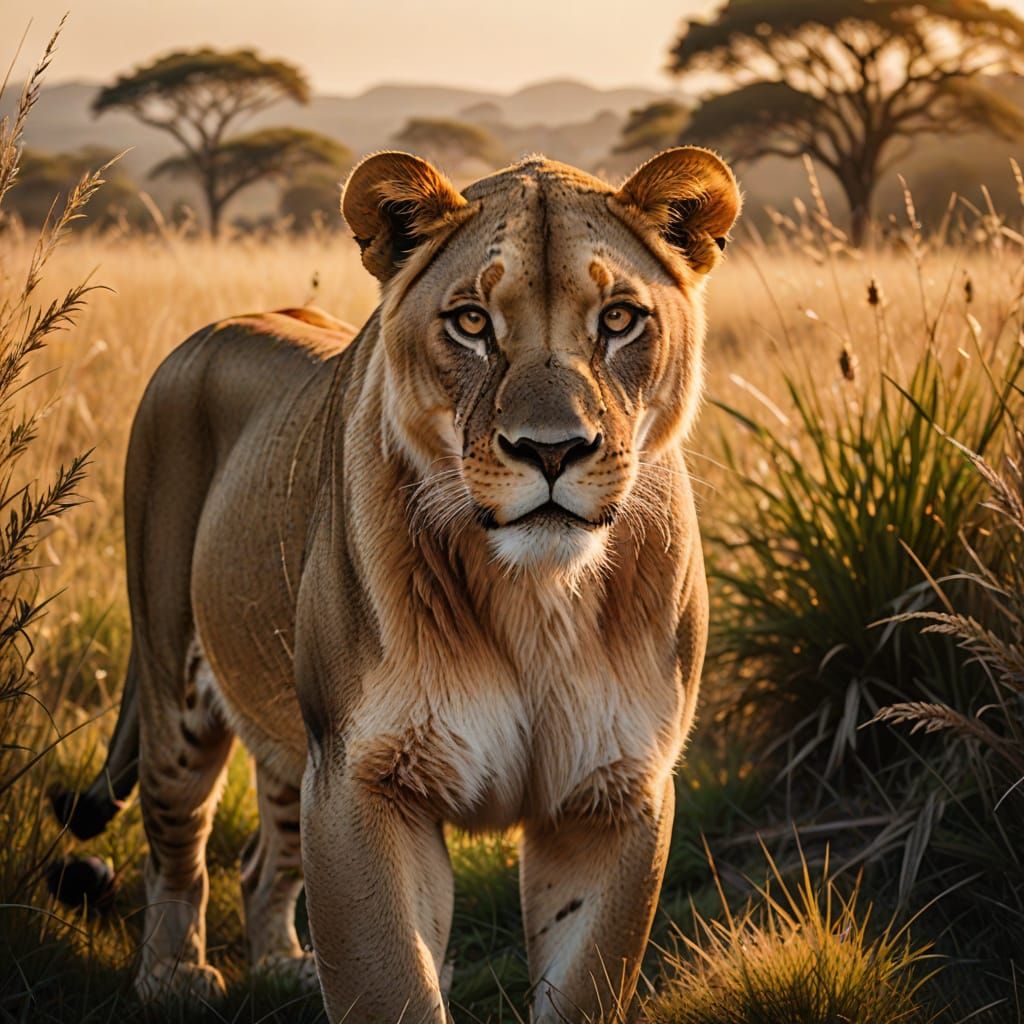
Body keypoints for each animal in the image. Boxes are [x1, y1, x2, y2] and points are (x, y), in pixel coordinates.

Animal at [51, 147, 740, 1022]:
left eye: (619, 319)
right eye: (471, 322)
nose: (551, 450)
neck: (537, 598)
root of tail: (214, 329)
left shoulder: (614, 791)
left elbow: (585, 984)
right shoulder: (363, 778)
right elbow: (389, 982)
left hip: (293, 737)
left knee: (264, 857)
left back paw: (283, 965)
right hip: (177, 679)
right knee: (176, 842)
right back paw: (174, 976)